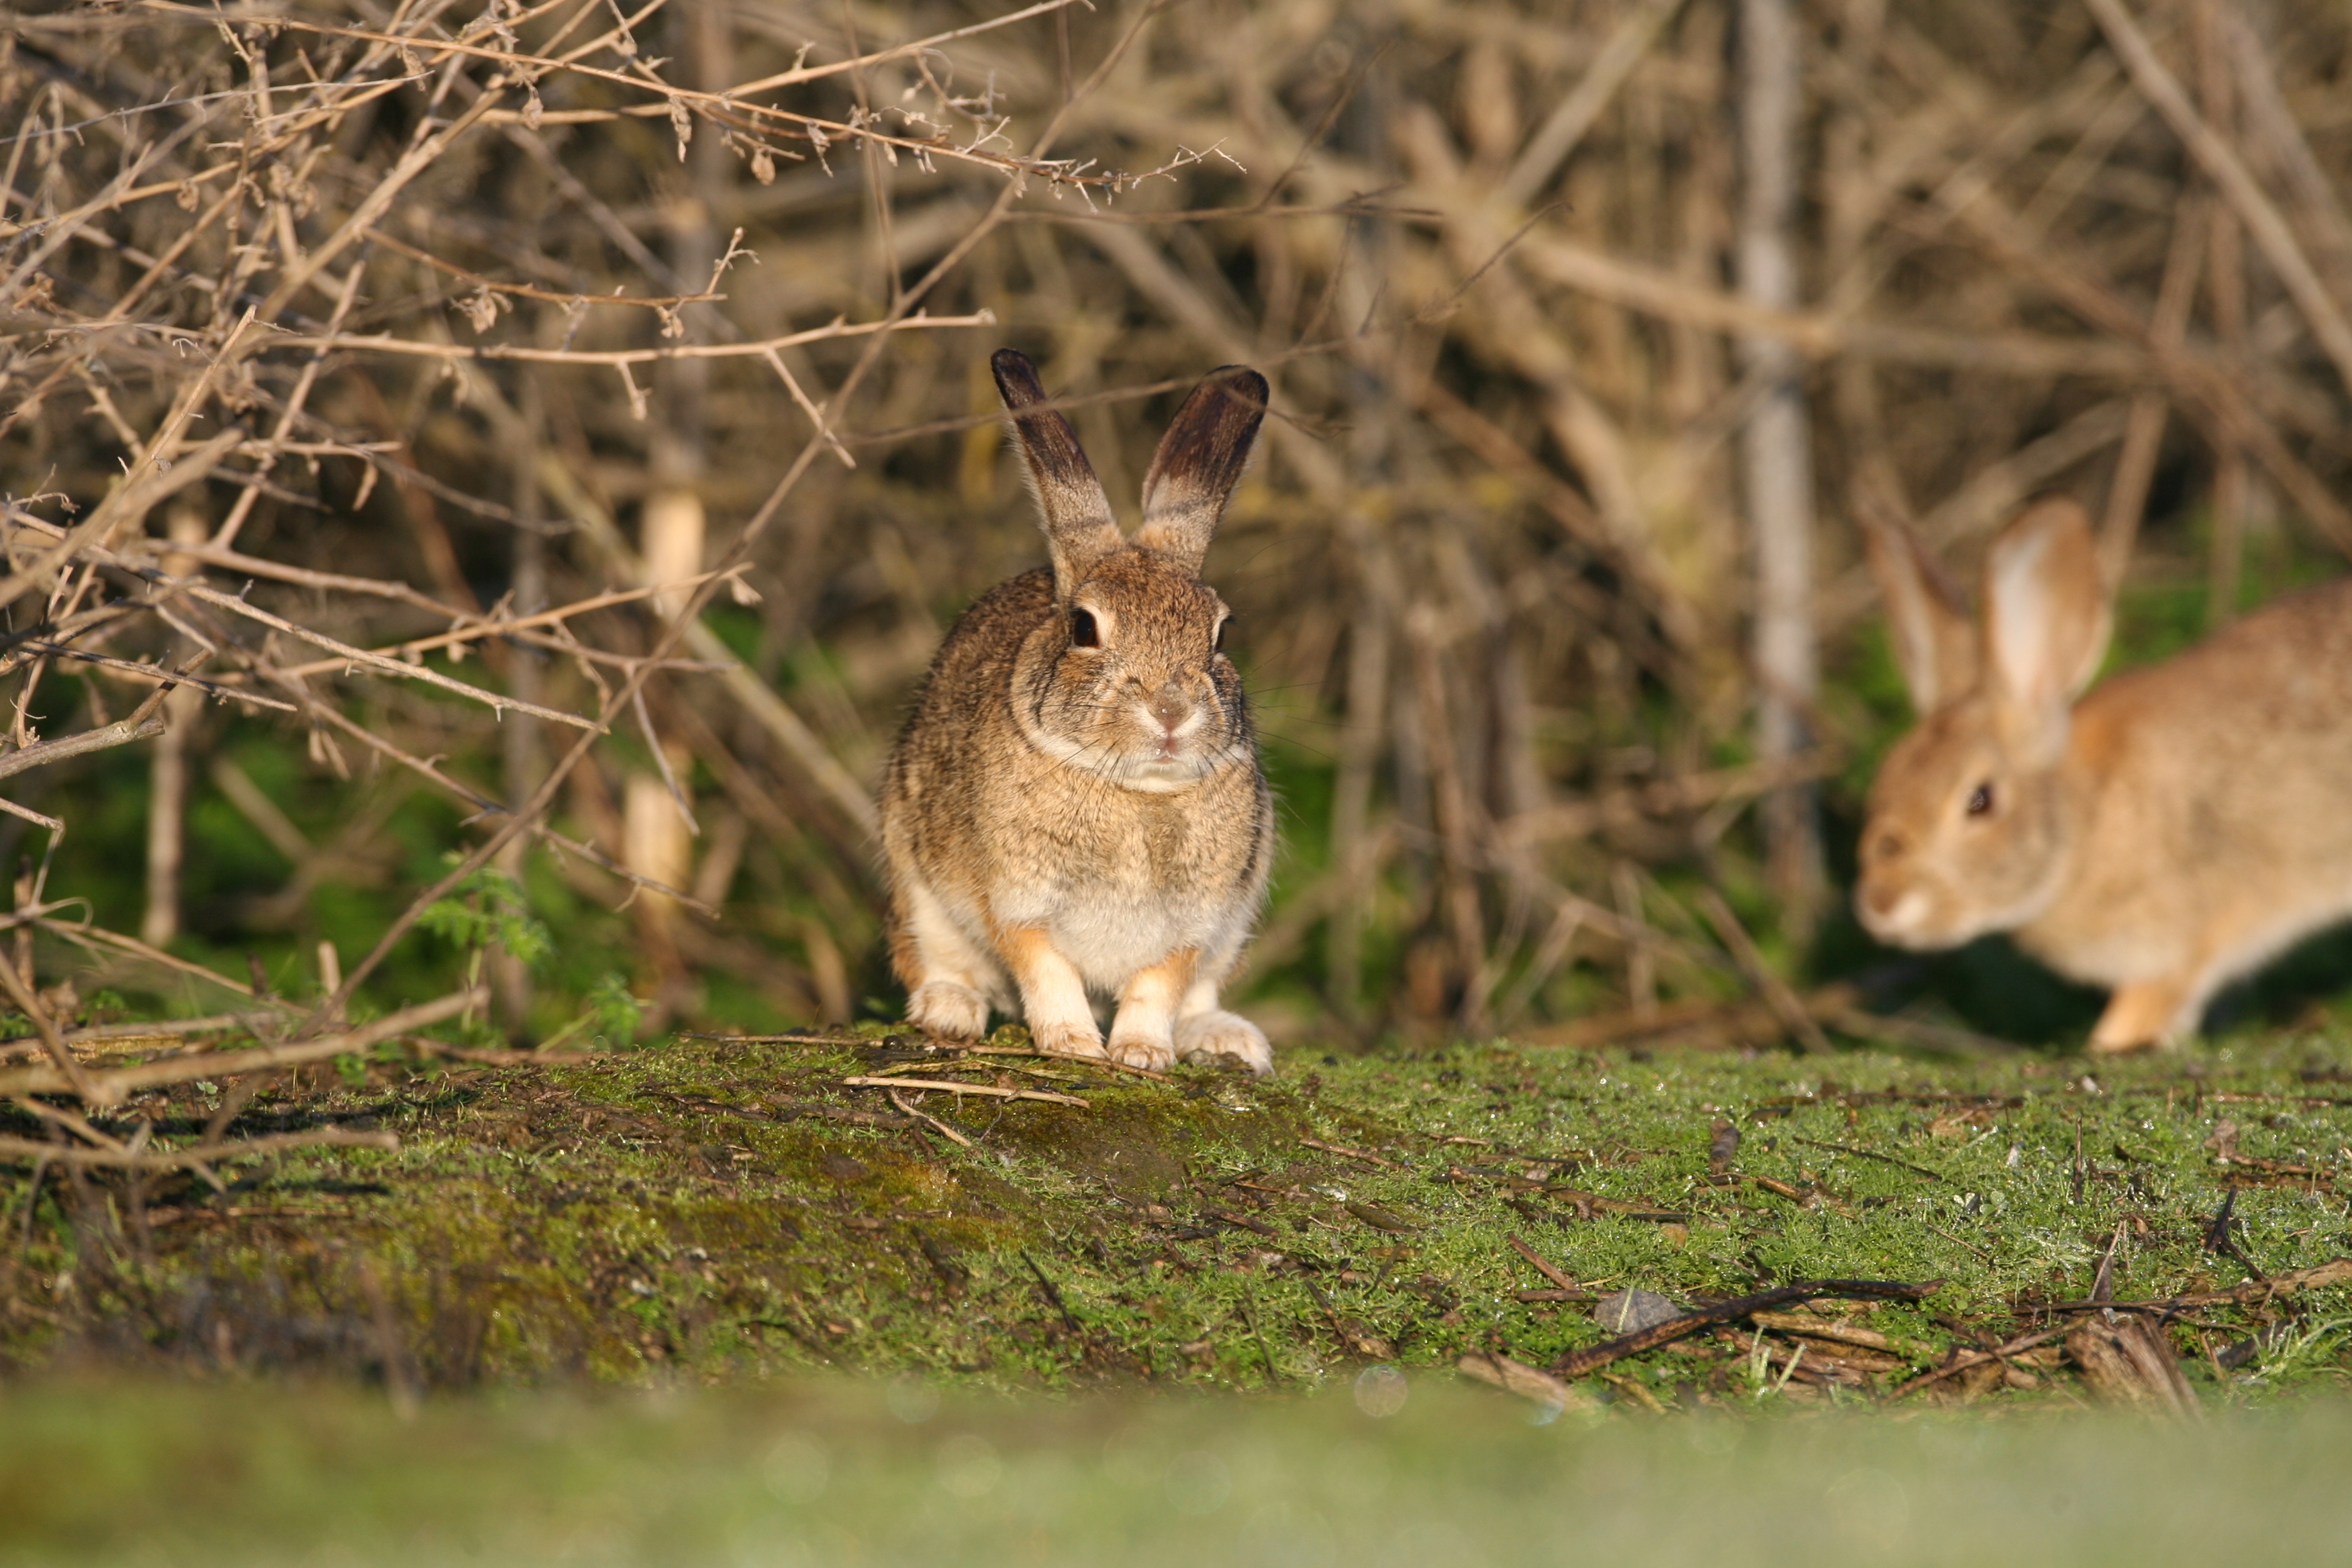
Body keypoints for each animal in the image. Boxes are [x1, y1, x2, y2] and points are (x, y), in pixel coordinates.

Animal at [877, 349, 1277, 1076]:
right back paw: (950, 1010)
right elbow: (1045, 968)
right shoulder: (1016, 902)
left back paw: (1225, 1038)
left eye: (1221, 633)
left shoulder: (1196, 924)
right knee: (936, 959)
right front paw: (1072, 1043)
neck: (1136, 790)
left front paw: (1142, 1053)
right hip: (915, 882)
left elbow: (1158, 986)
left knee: (1201, 995)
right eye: (1084, 627)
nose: (1171, 711)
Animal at [1855, 494, 2352, 1052]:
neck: (2085, 824)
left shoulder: (2185, 938)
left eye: (1979, 800)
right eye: (1887, 776)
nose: (1881, 904)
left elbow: (2139, 1012)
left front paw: (2107, 1045)